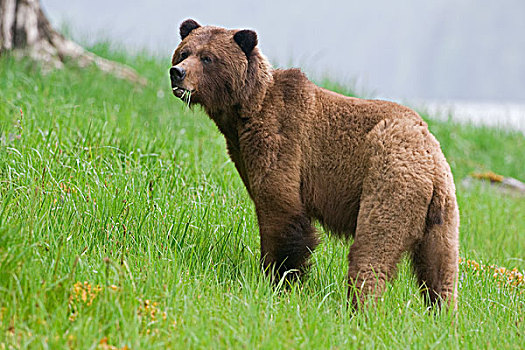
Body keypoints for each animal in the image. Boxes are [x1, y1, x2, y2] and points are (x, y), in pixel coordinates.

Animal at [169, 19, 458, 308]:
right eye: (184, 52)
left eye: (208, 58)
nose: (177, 73)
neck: (244, 112)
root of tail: (432, 161)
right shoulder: (242, 151)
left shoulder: (282, 141)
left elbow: (282, 212)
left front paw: (279, 278)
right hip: (443, 216)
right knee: (441, 268)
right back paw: (442, 311)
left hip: (388, 181)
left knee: (373, 248)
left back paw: (360, 306)